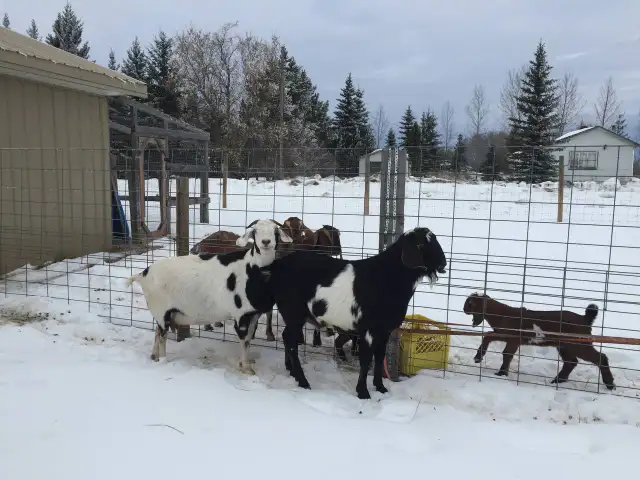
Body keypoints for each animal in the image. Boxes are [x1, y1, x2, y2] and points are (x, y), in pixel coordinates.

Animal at [125, 219, 293, 374]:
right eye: (255, 231)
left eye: (275, 231)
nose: (266, 242)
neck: (253, 267)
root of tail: (143, 274)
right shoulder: (241, 315)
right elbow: (243, 339)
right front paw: (246, 368)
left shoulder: (253, 314)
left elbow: (249, 339)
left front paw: (246, 363)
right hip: (161, 310)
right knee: (162, 336)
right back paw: (163, 359)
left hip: (162, 313)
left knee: (157, 332)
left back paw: (154, 356)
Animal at [261, 227, 447, 399]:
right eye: (421, 244)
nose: (443, 264)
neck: (387, 277)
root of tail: (278, 266)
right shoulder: (368, 329)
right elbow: (366, 359)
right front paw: (363, 392)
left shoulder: (384, 330)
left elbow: (379, 357)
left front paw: (381, 388)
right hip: (293, 311)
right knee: (291, 342)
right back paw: (303, 381)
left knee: (286, 338)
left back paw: (291, 371)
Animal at [463, 292, 615, 390]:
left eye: (470, 304)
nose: (463, 309)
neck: (502, 314)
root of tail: (585, 319)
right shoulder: (505, 335)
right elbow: (488, 336)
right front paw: (478, 357)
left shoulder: (513, 339)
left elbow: (506, 354)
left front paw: (501, 374)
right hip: (565, 345)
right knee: (571, 362)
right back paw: (557, 380)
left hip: (578, 343)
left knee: (600, 358)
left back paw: (610, 384)